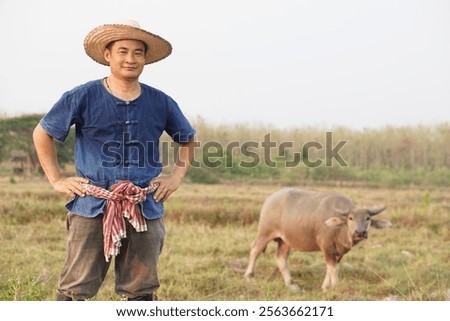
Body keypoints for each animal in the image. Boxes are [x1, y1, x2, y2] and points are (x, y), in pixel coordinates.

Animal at [243, 188, 390, 290]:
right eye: (350, 218)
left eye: (368, 218)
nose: (360, 232)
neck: (340, 229)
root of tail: (269, 199)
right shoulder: (327, 247)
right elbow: (333, 268)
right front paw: (335, 286)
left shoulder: (338, 252)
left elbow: (331, 268)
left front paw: (325, 287)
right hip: (264, 232)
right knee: (255, 249)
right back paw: (249, 274)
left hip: (285, 240)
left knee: (281, 258)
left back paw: (289, 282)